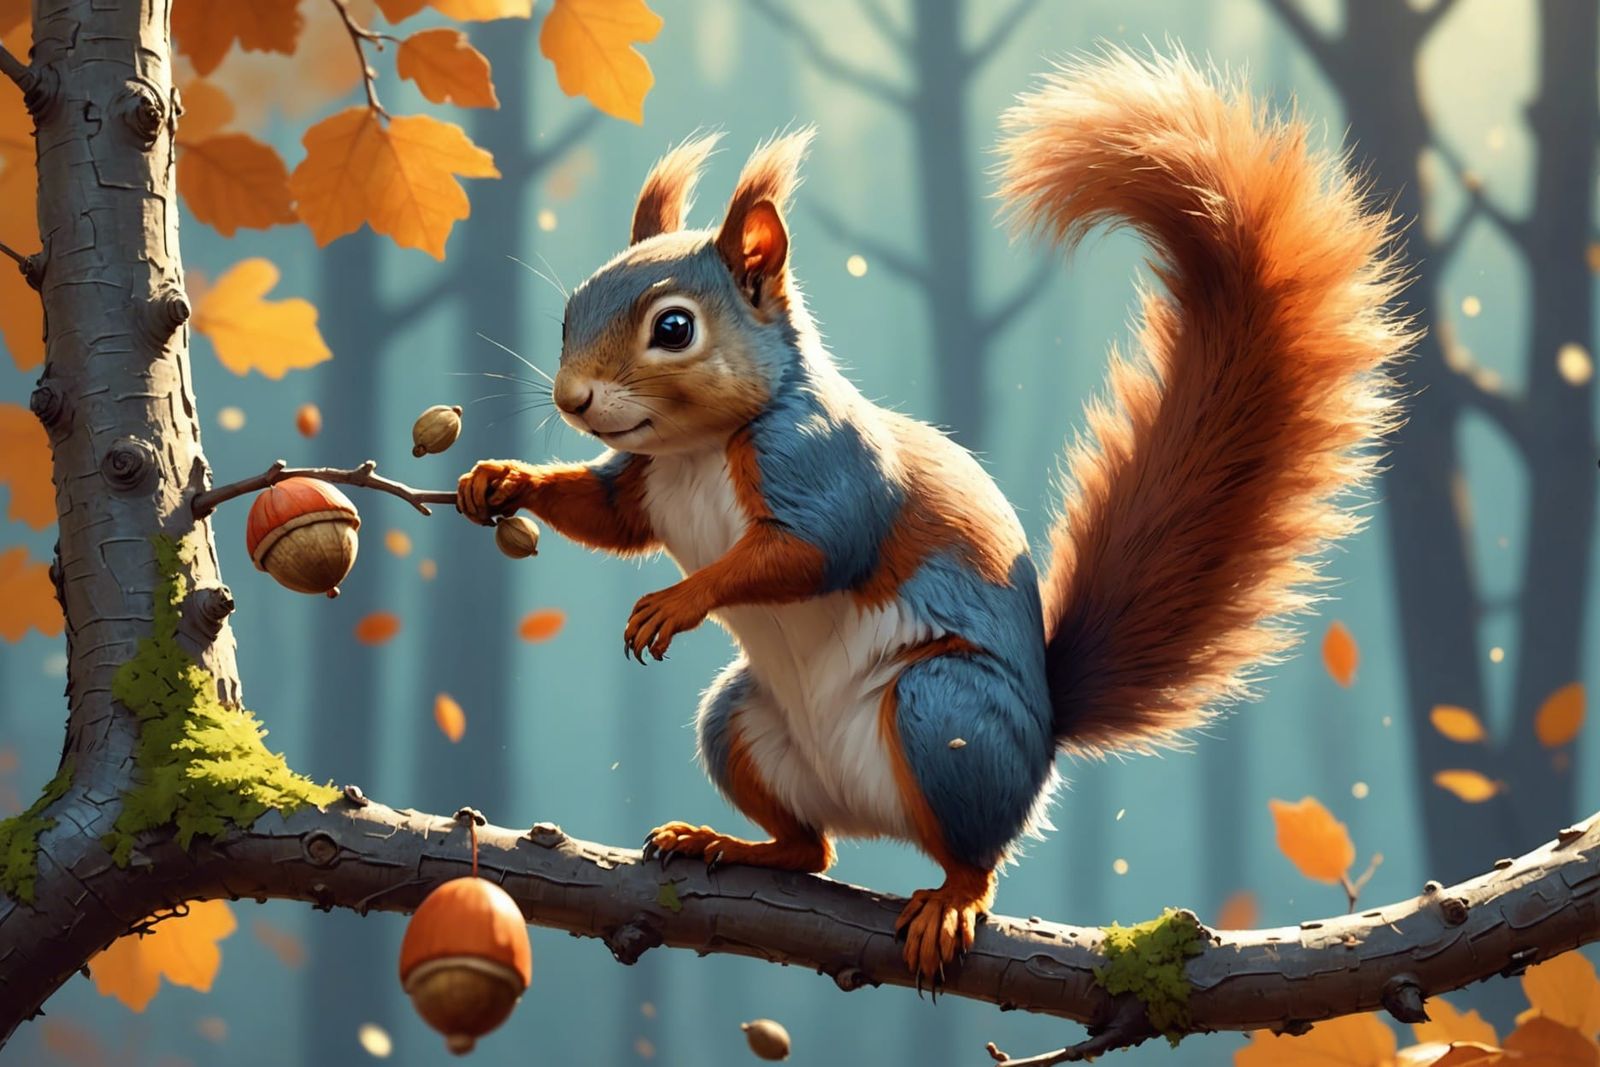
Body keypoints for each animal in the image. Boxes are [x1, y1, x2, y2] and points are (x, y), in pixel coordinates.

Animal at [457, 48, 1409, 983]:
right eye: (571, 311)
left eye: (674, 327)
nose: (572, 398)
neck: (697, 451)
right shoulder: (647, 481)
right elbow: (610, 516)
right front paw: (501, 480)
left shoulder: (824, 467)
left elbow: (811, 552)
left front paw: (677, 601)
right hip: (737, 720)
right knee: (811, 848)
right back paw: (732, 842)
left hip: (942, 711)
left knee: (972, 852)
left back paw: (950, 899)